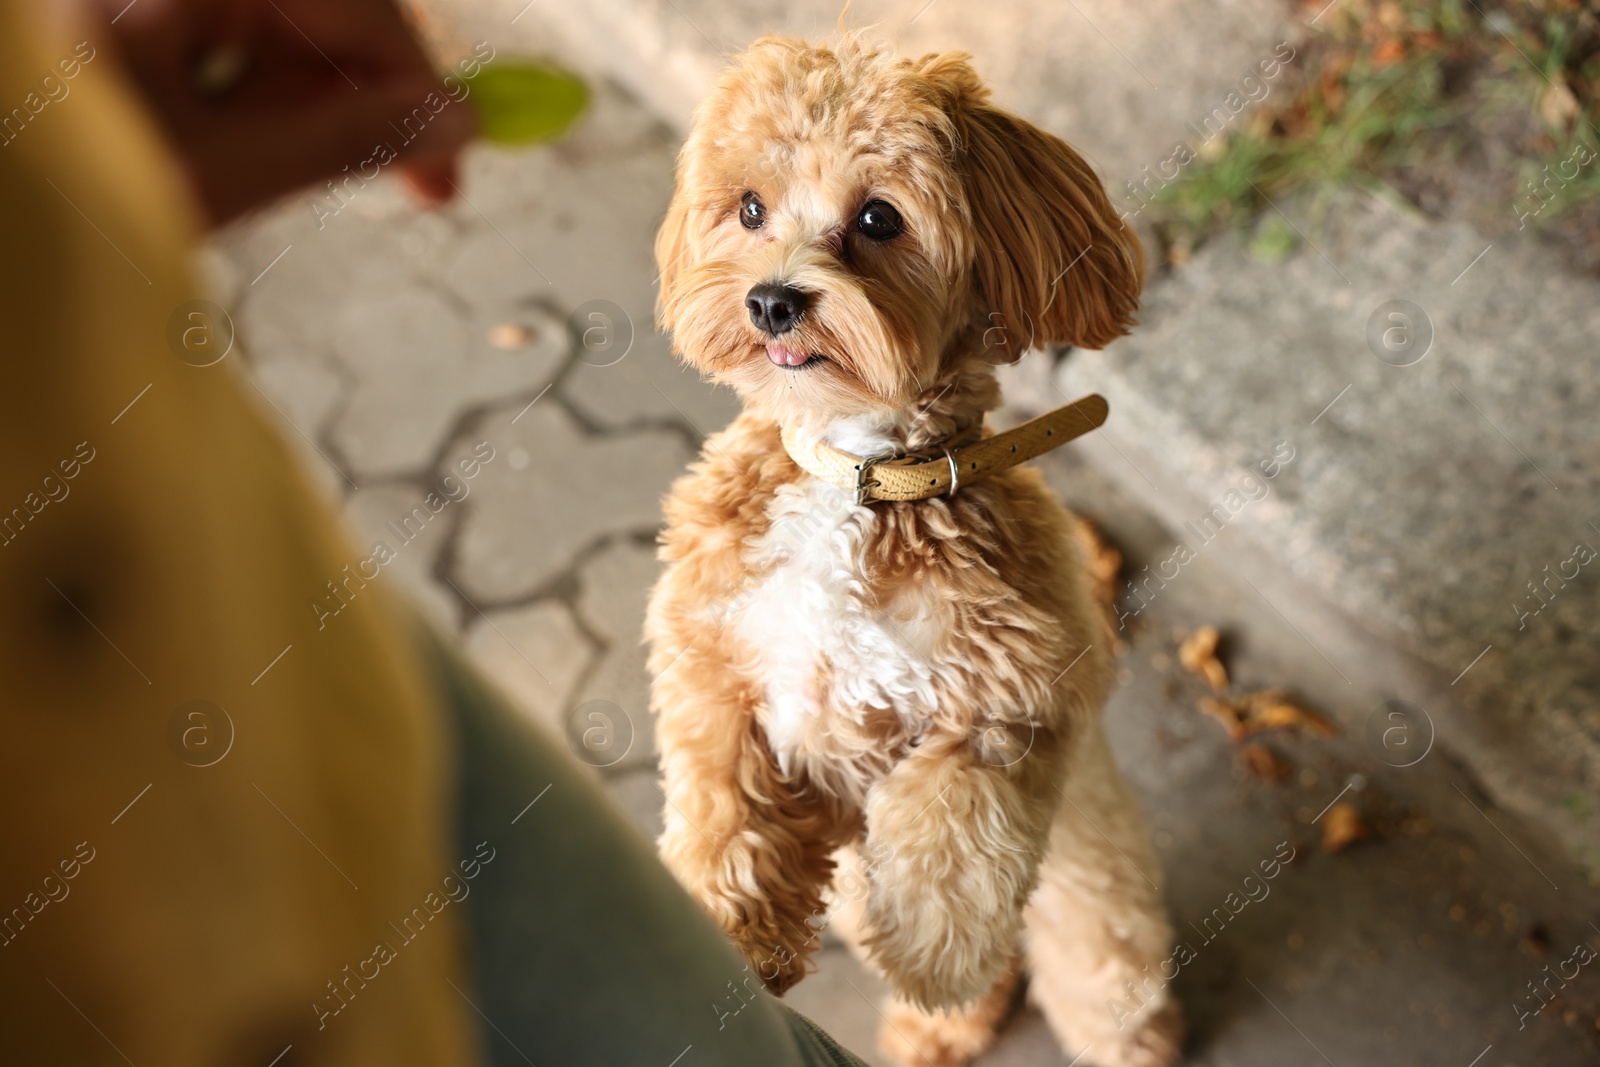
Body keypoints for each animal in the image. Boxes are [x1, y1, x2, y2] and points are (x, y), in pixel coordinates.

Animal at [643, 33, 1184, 1067]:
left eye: (878, 217)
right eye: (750, 208)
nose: (771, 301)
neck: (861, 479)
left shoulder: (1012, 699)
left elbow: (953, 822)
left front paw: (933, 950)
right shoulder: (717, 676)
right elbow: (724, 805)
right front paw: (735, 931)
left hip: (1093, 891)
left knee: (1092, 969)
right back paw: (938, 1029)